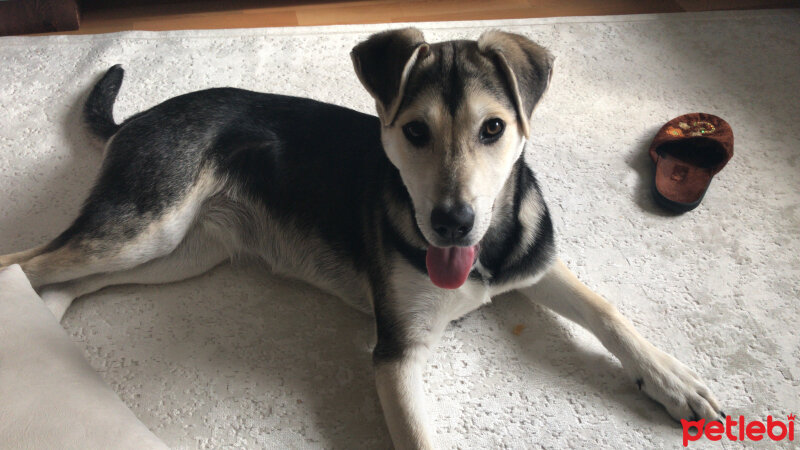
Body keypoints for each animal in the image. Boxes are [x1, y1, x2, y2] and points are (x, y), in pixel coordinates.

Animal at [1, 29, 724, 450]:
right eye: (414, 131)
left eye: (493, 129)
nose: (452, 223)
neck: (483, 255)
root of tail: (139, 118)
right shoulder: (396, 354)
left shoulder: (534, 262)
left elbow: (606, 311)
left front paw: (675, 383)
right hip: (145, 225)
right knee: (23, 261)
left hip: (181, 251)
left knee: (65, 280)